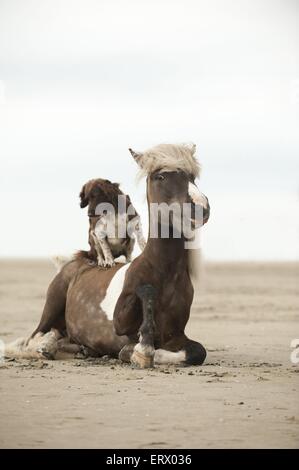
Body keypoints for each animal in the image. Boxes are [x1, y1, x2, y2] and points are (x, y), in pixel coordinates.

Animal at [5, 143, 211, 368]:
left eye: (192, 177)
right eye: (160, 176)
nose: (201, 208)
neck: (164, 271)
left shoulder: (175, 334)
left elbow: (197, 352)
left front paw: (138, 351)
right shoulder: (121, 321)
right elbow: (145, 297)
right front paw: (140, 351)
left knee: (61, 337)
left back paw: (77, 349)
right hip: (51, 307)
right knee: (33, 339)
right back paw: (46, 347)